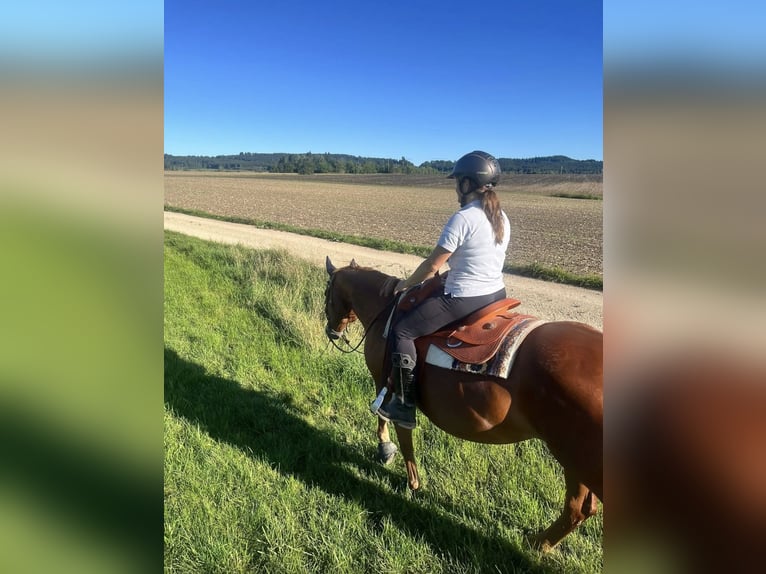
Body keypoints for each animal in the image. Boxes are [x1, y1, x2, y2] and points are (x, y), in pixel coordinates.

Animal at [323, 257, 603, 550]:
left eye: (326, 292)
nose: (331, 331)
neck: (386, 311)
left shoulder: (385, 381)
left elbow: (391, 422)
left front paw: (393, 459)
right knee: (581, 509)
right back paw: (540, 543)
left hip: (576, 458)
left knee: (576, 508)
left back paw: (536, 543)